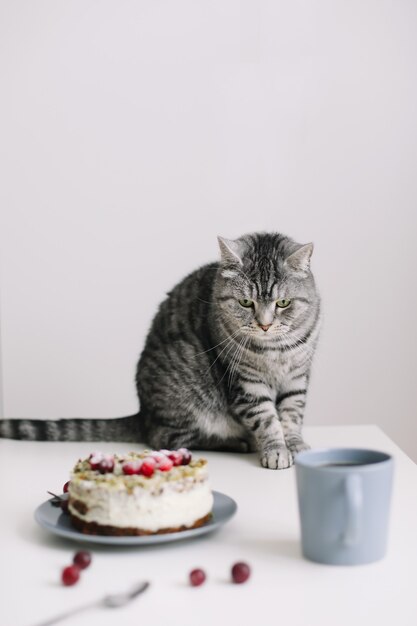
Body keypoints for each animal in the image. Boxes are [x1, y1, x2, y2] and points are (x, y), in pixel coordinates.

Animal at [0, 232, 322, 466]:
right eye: (245, 303)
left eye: (283, 303)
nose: (265, 325)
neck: (275, 351)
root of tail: (143, 413)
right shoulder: (246, 383)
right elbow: (266, 419)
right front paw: (276, 449)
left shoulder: (297, 377)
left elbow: (291, 414)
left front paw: (294, 445)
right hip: (187, 396)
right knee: (167, 438)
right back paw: (236, 442)